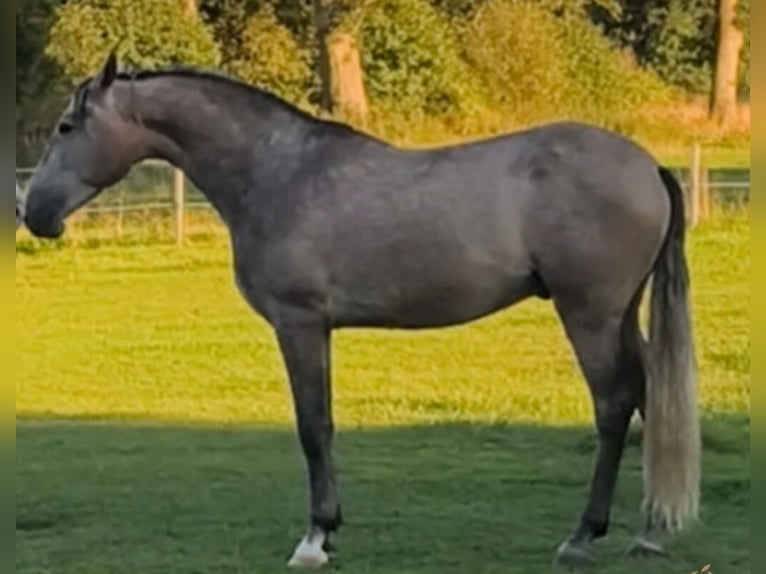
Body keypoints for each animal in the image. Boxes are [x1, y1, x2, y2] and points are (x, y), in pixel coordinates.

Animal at [23, 53, 700, 570]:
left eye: (66, 126)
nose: (33, 212)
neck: (278, 173)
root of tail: (648, 164)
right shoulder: (315, 328)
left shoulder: (299, 325)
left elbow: (313, 428)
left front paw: (315, 538)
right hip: (621, 315)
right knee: (651, 395)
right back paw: (649, 531)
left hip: (590, 314)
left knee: (614, 404)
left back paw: (583, 536)